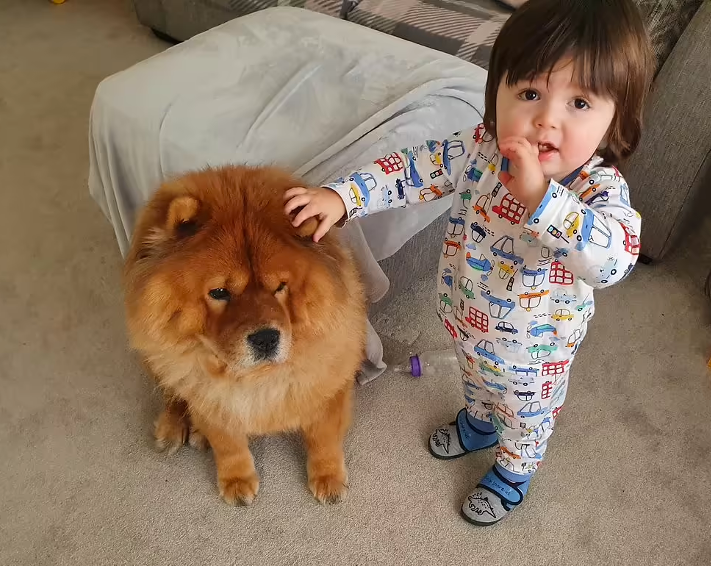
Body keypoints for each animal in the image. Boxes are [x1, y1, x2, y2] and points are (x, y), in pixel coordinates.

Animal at [122, 168, 364, 506]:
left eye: (280, 287)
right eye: (219, 292)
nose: (265, 338)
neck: (251, 378)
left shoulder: (329, 385)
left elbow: (323, 437)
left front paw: (328, 479)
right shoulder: (208, 396)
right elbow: (228, 444)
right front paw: (236, 481)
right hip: (156, 356)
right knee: (172, 394)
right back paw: (174, 429)